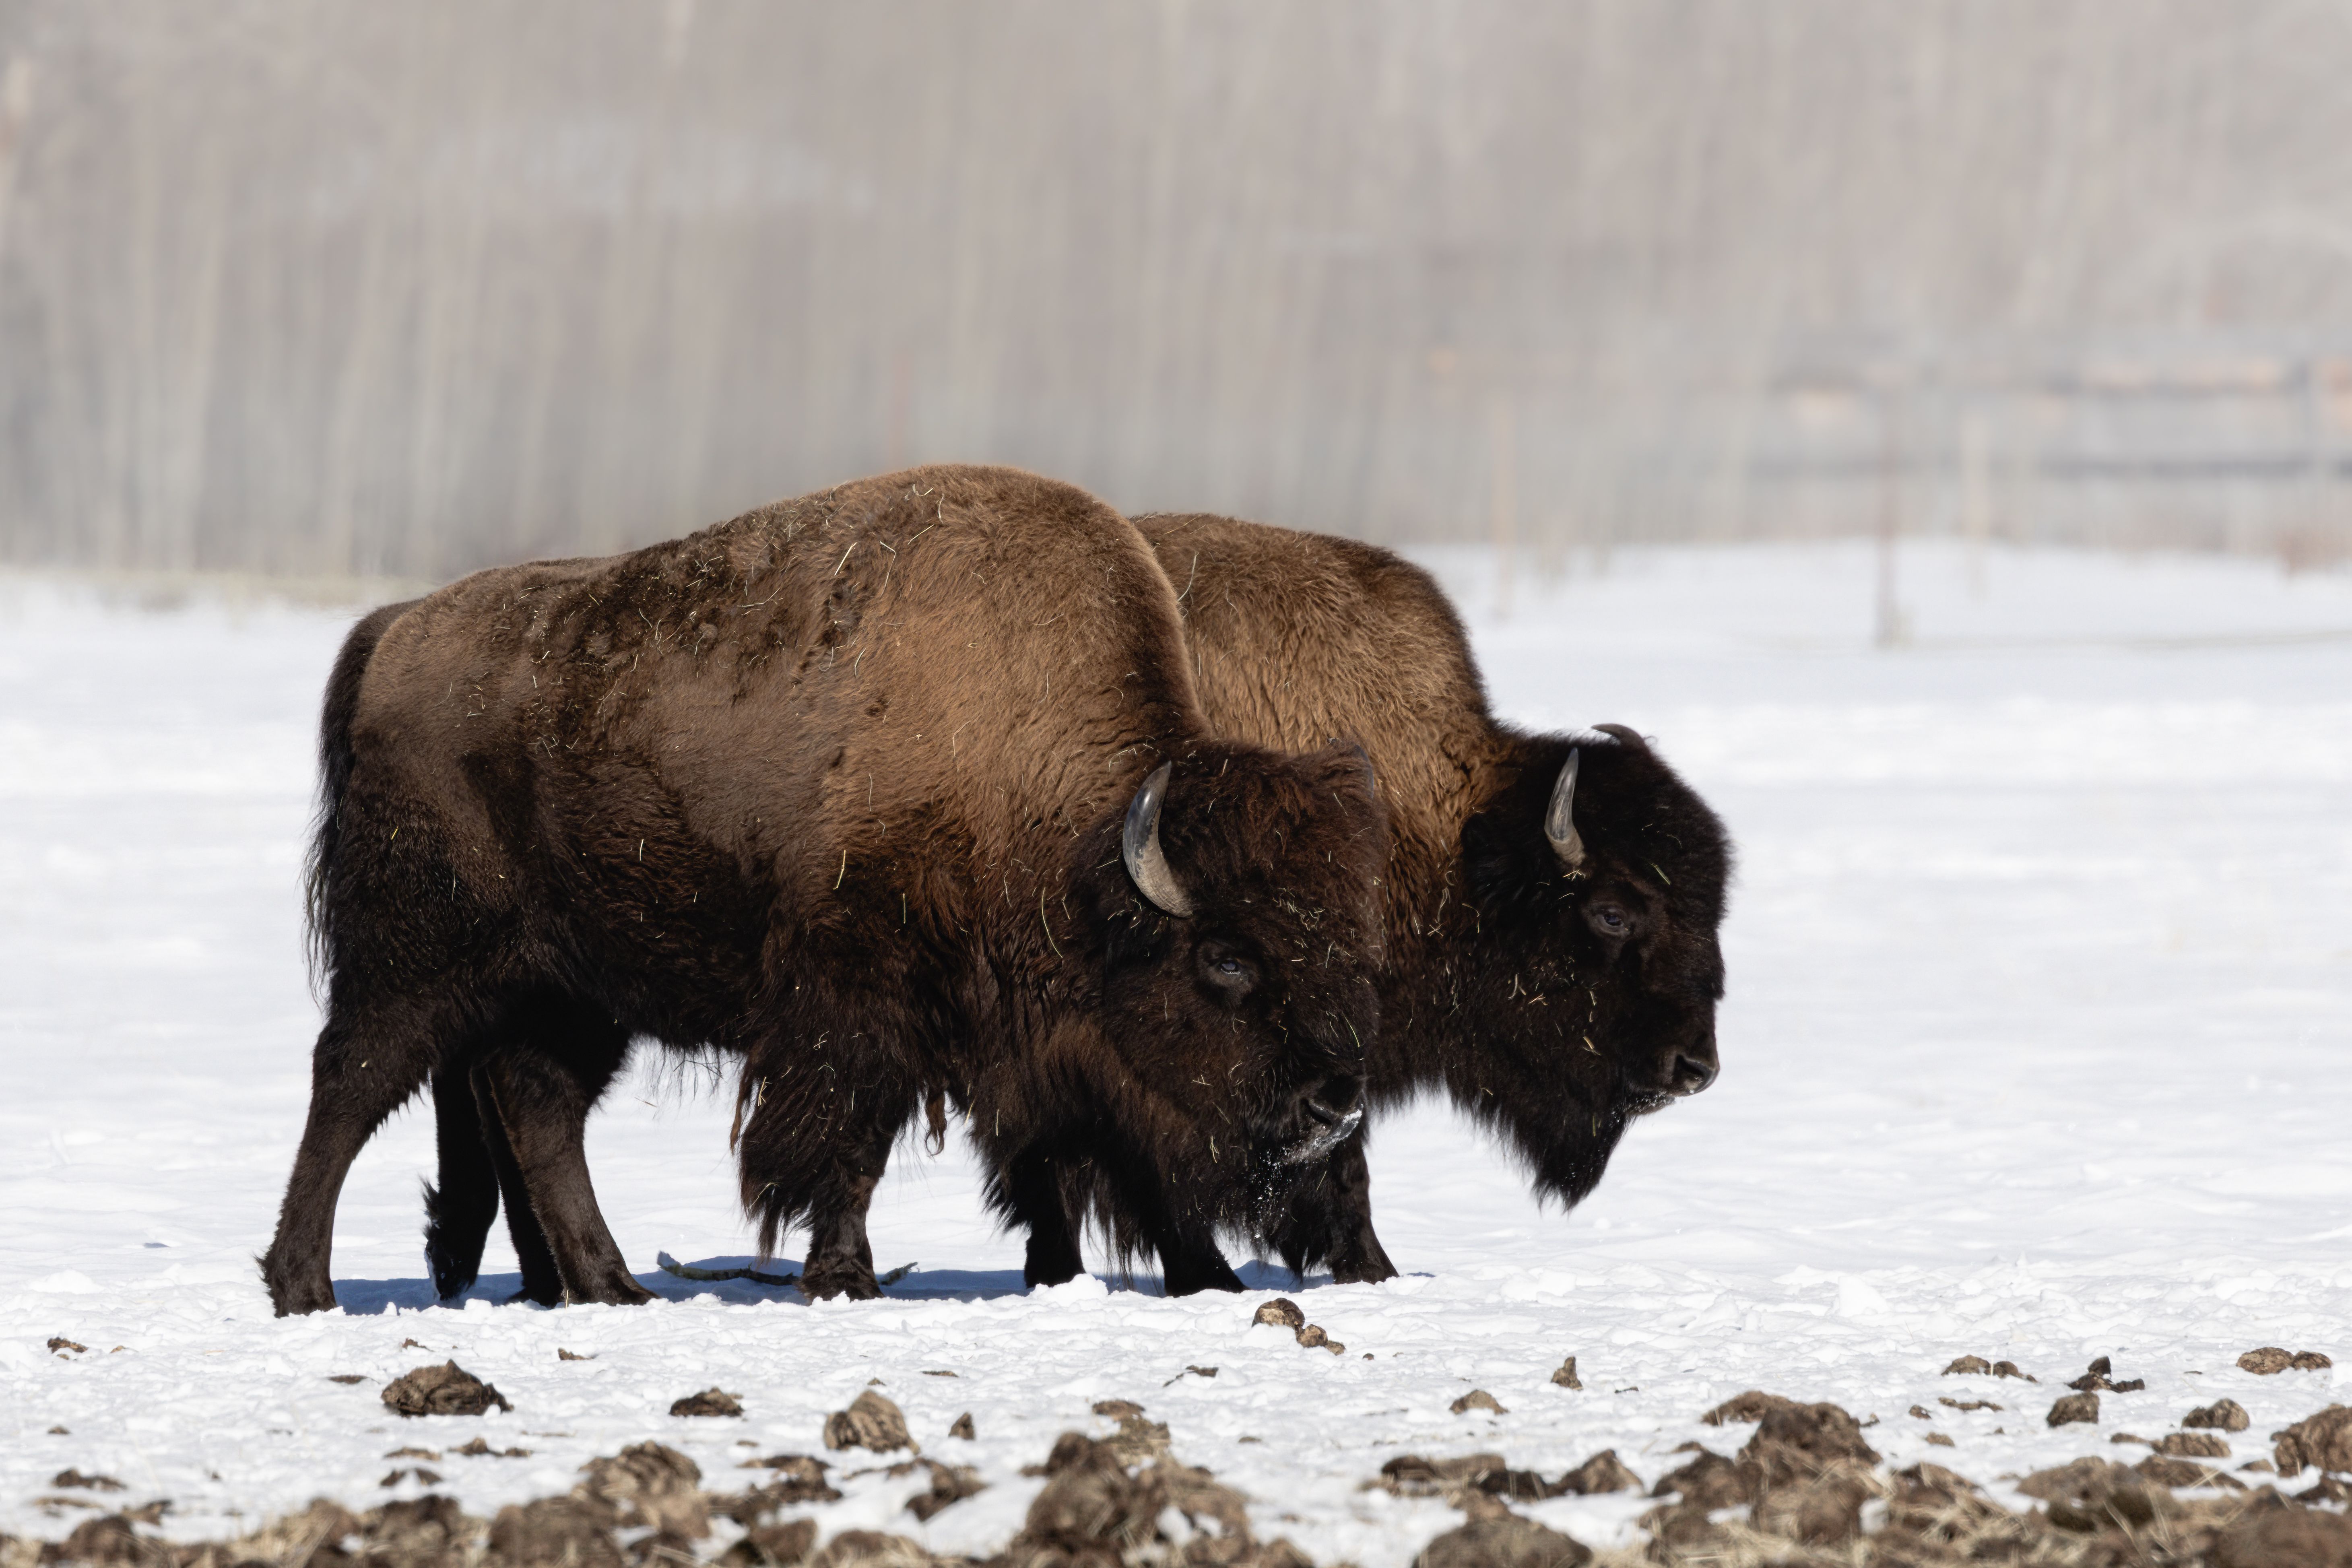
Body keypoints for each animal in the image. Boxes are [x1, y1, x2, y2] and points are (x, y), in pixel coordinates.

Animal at [259, 467, 1387, 1314]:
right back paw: (304, 1284)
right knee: (353, 1081)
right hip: (417, 958)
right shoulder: (857, 1002)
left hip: (572, 989)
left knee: (538, 1107)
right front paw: (844, 1276)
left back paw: (611, 1285)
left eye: (1340, 940)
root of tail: (395, 630)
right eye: (1227, 959)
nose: (1334, 1101)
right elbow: (845, 1141)